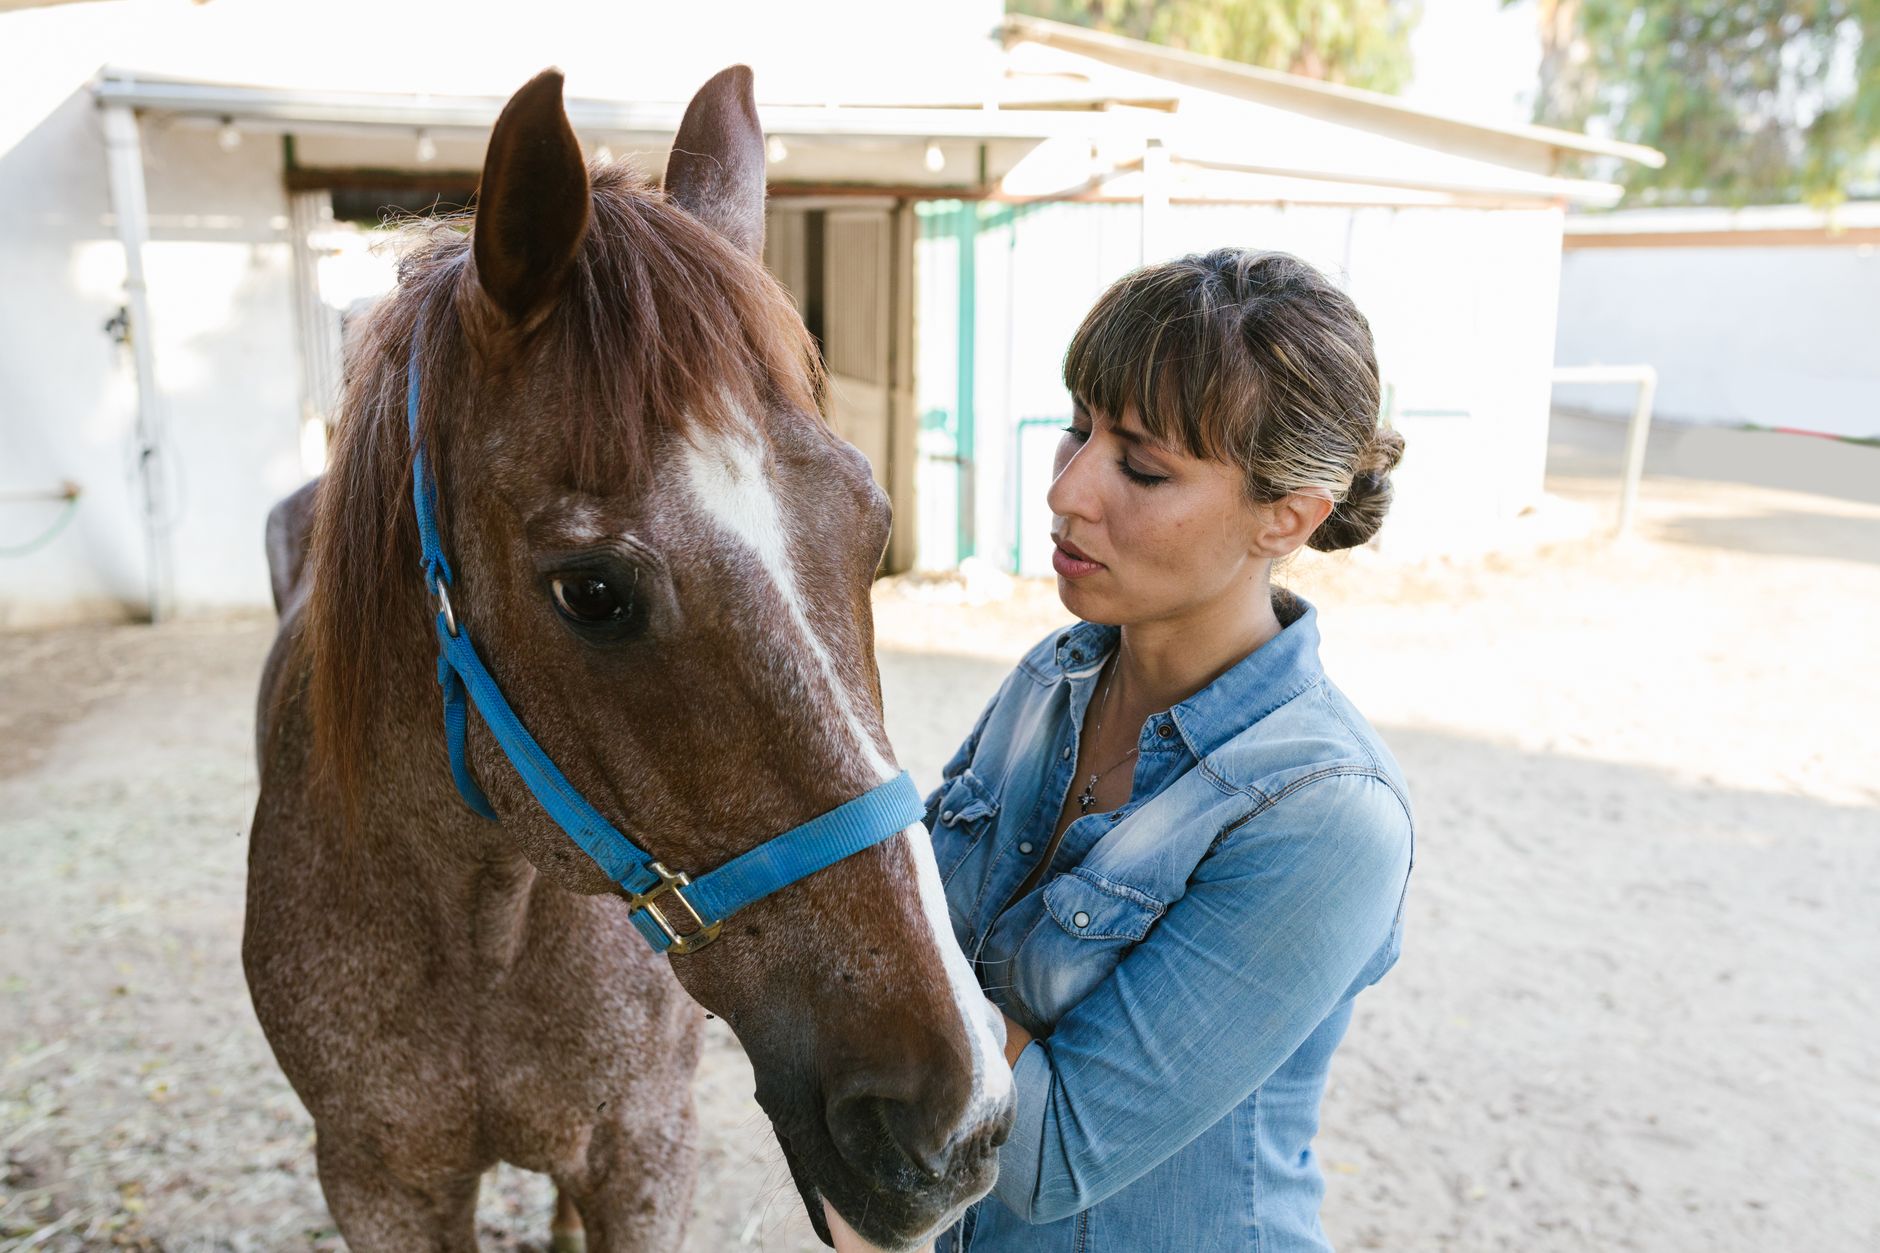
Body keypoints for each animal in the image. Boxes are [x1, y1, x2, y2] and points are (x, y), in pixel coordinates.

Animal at [245, 66, 1013, 1252]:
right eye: (593, 593)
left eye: (875, 528)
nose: (960, 1115)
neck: (485, 922)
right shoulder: (378, 1181)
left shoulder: (647, 1153)